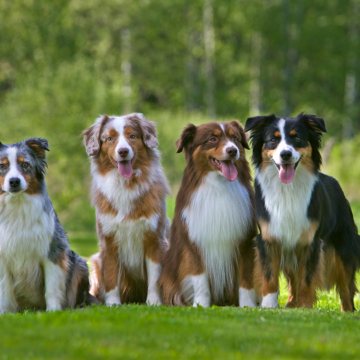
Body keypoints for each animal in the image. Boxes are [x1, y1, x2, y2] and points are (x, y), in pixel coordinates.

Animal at [0, 138, 97, 312]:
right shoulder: (2, 259)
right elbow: (4, 292)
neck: (17, 205)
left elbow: (51, 288)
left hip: (79, 264)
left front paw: (53, 312)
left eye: (25, 164)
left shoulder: (53, 252)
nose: (14, 182)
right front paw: (5, 314)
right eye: (2, 166)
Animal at [82, 114, 169, 306]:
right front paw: (113, 304)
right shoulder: (108, 240)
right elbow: (111, 277)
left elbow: (155, 278)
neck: (126, 184)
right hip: (96, 261)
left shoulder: (155, 239)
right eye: (109, 138)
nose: (123, 151)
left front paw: (154, 303)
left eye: (132, 136)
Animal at [159, 121, 258, 306]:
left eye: (235, 138)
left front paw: (248, 305)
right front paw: (201, 305)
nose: (233, 150)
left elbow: (246, 277)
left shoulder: (245, 240)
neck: (219, 186)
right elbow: (200, 280)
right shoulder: (194, 242)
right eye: (212, 139)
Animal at [245, 114, 360, 310]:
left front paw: (306, 307)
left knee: (346, 286)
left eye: (297, 137)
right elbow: (269, 276)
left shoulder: (309, 240)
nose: (285, 154)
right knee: (293, 278)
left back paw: (347, 311)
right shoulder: (269, 237)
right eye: (273, 140)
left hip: (343, 247)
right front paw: (269, 305)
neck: (287, 188)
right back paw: (291, 303)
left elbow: (306, 277)